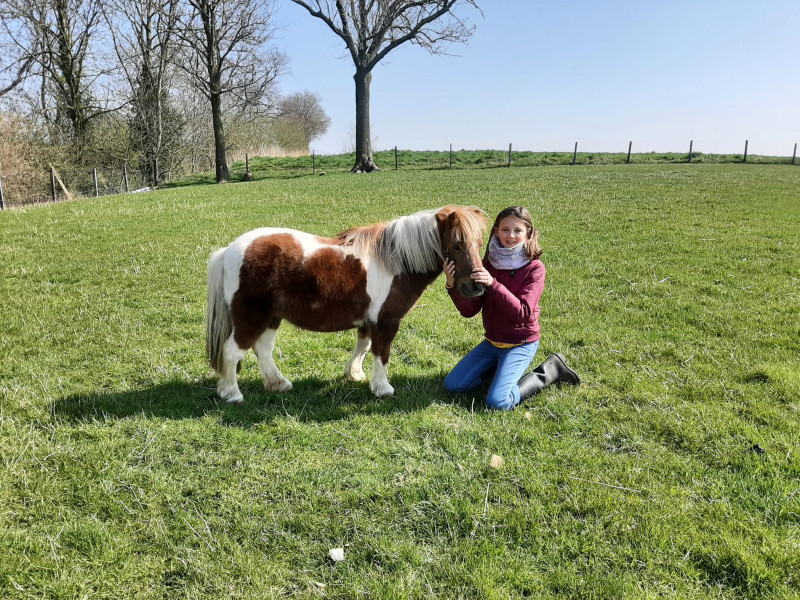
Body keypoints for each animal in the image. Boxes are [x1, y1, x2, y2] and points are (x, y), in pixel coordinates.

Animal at [206, 204, 488, 406]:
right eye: (456, 245)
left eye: (478, 243)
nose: (476, 286)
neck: (396, 261)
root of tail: (228, 250)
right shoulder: (387, 321)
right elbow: (382, 353)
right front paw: (383, 388)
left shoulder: (368, 320)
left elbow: (363, 346)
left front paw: (355, 375)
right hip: (251, 317)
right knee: (232, 351)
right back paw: (233, 394)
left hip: (271, 317)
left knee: (263, 350)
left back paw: (279, 384)